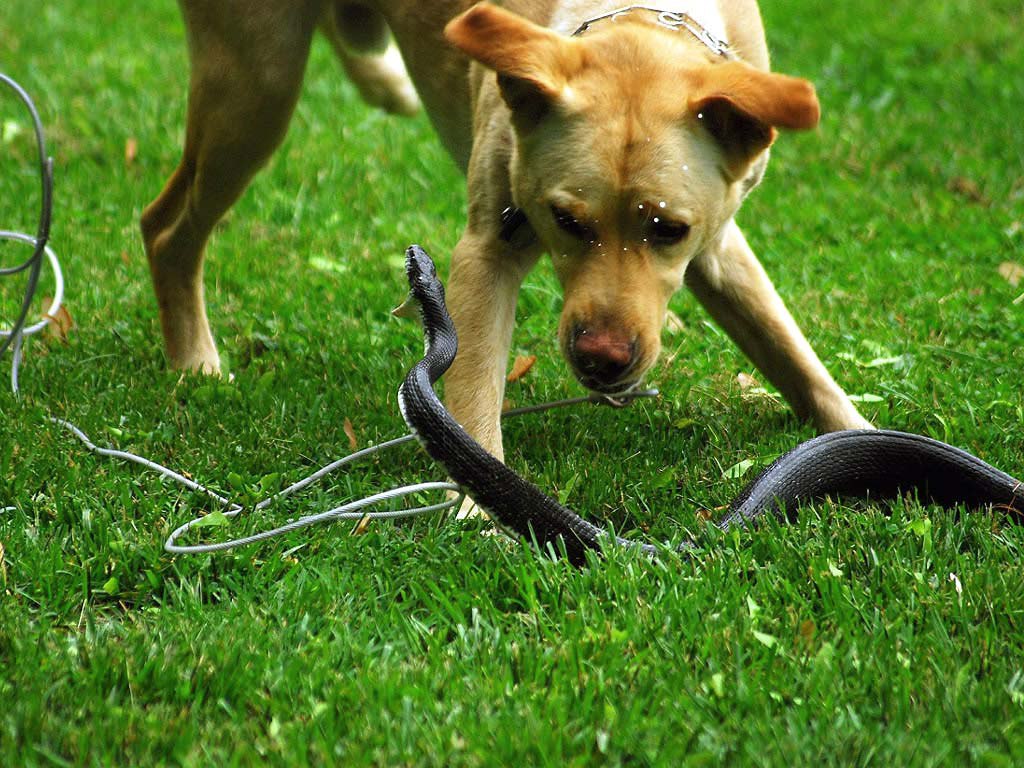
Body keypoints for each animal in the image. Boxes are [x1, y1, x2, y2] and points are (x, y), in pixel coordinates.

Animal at [142, 1, 872, 462]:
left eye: (669, 228)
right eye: (566, 219)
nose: (601, 360)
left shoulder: (719, 245)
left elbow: (792, 354)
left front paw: (862, 437)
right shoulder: (485, 252)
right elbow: (473, 390)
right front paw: (481, 511)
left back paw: (384, 80)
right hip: (254, 91)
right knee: (164, 228)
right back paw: (195, 361)